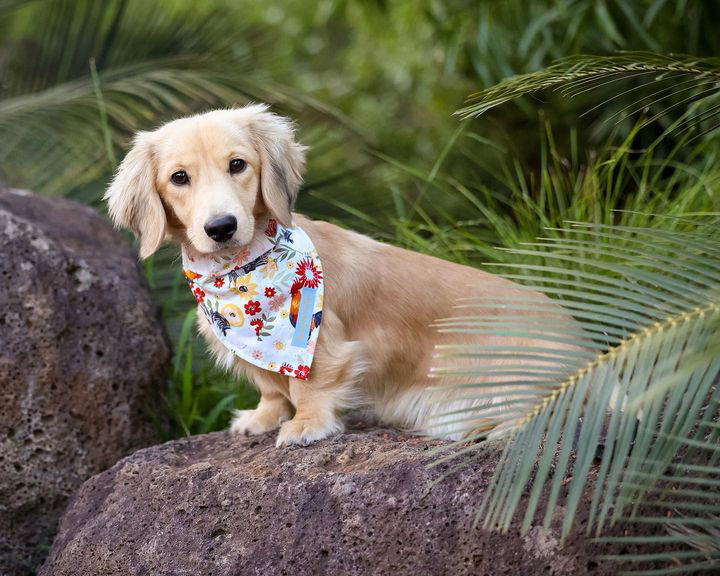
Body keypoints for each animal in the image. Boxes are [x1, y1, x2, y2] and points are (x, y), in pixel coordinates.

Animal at [104, 104, 572, 446]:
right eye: (179, 177)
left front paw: (306, 424)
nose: (221, 227)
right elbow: (272, 388)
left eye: (238, 165)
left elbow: (309, 385)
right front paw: (264, 417)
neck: (240, 273)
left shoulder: (322, 343)